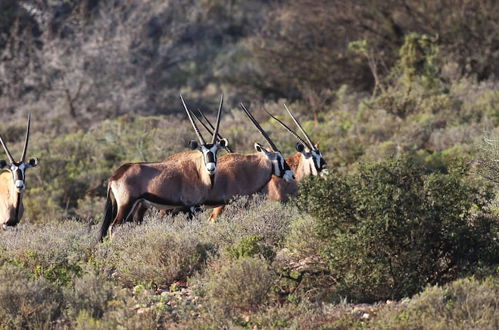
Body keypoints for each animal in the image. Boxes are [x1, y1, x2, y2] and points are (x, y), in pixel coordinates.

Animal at [100, 95, 230, 240]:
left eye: (216, 151)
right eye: (202, 151)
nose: (211, 168)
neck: (198, 172)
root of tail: (115, 175)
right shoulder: (190, 207)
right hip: (126, 204)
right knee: (113, 227)